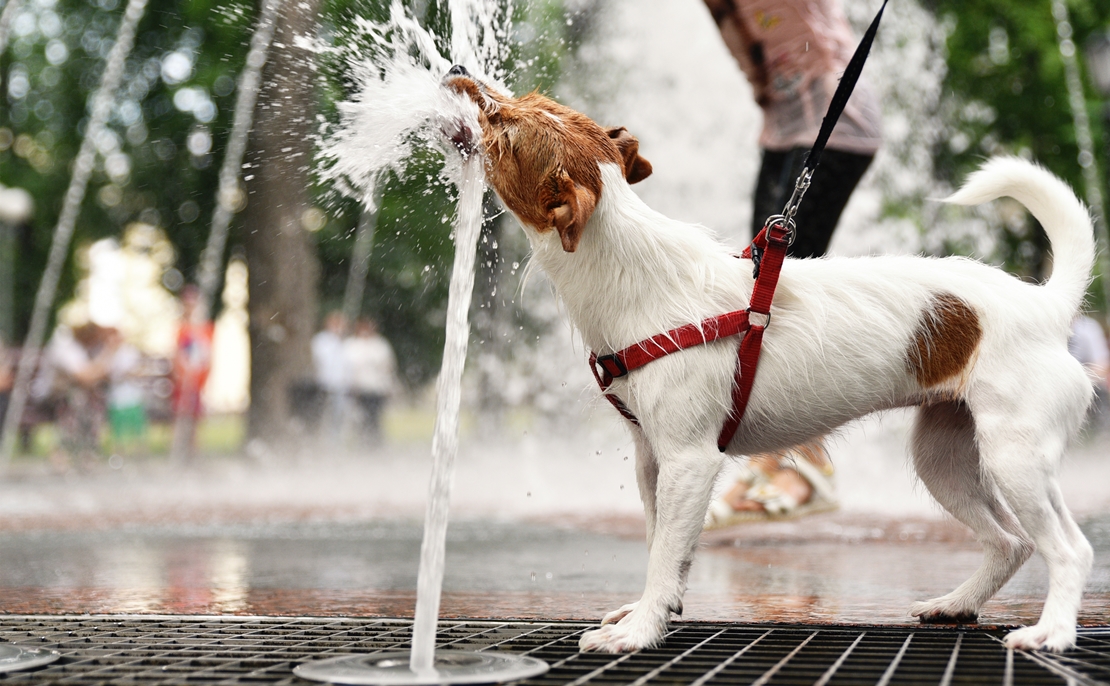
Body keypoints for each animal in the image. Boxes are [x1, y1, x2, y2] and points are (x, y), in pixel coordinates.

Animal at [444, 64, 1101, 652]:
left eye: (503, 125)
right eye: (526, 100)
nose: (456, 70)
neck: (635, 270)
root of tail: (1046, 306)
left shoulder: (690, 461)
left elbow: (664, 552)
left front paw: (640, 631)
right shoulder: (652, 459)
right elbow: (661, 546)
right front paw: (654, 609)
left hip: (1014, 457)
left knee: (1070, 548)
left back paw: (1050, 634)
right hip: (944, 457)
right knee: (1011, 543)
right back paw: (957, 604)